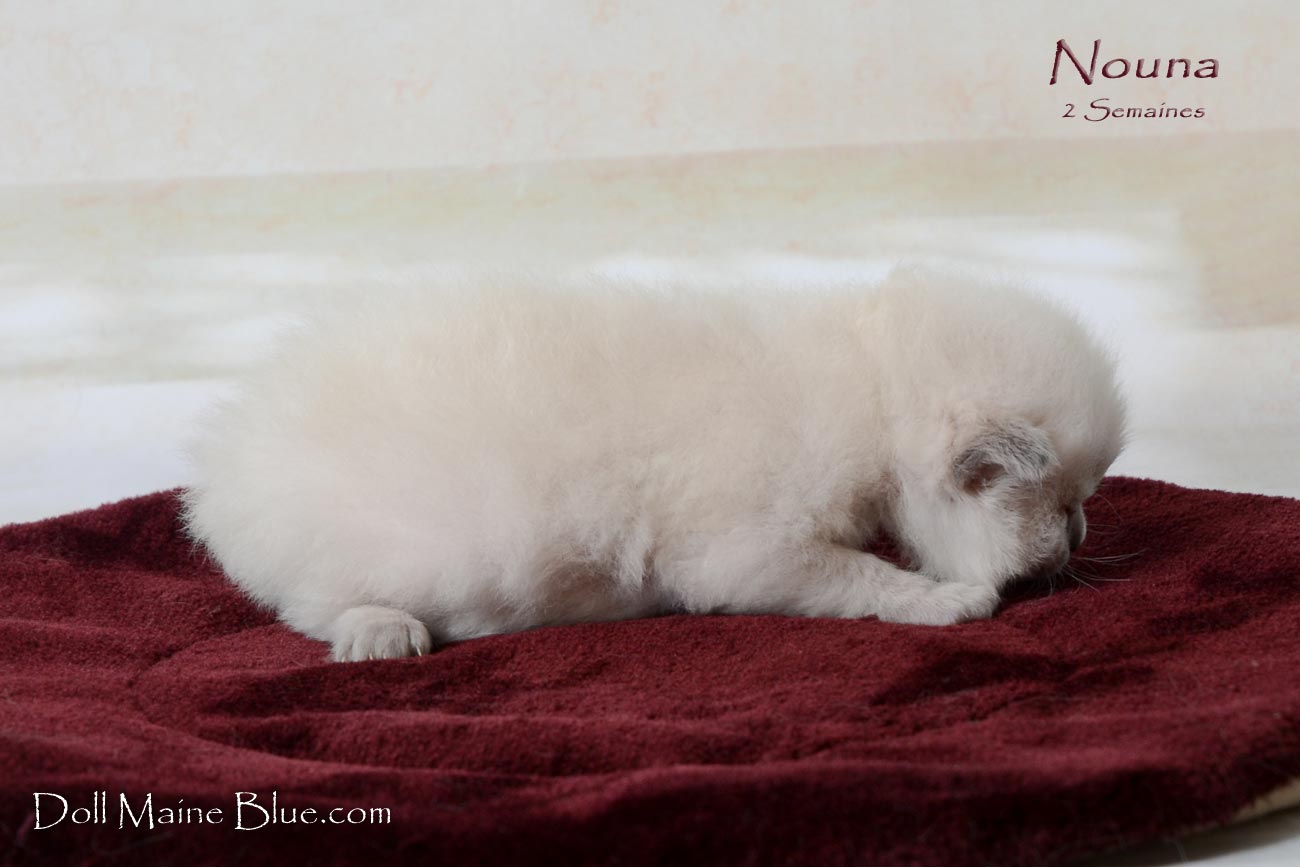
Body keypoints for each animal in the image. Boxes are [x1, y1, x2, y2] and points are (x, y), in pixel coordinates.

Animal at [182, 266, 1126, 661]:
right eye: (1062, 501)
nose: (1084, 528)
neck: (871, 384)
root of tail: (224, 469)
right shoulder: (747, 548)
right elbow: (857, 577)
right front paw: (947, 600)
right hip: (377, 545)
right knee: (309, 604)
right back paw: (383, 632)